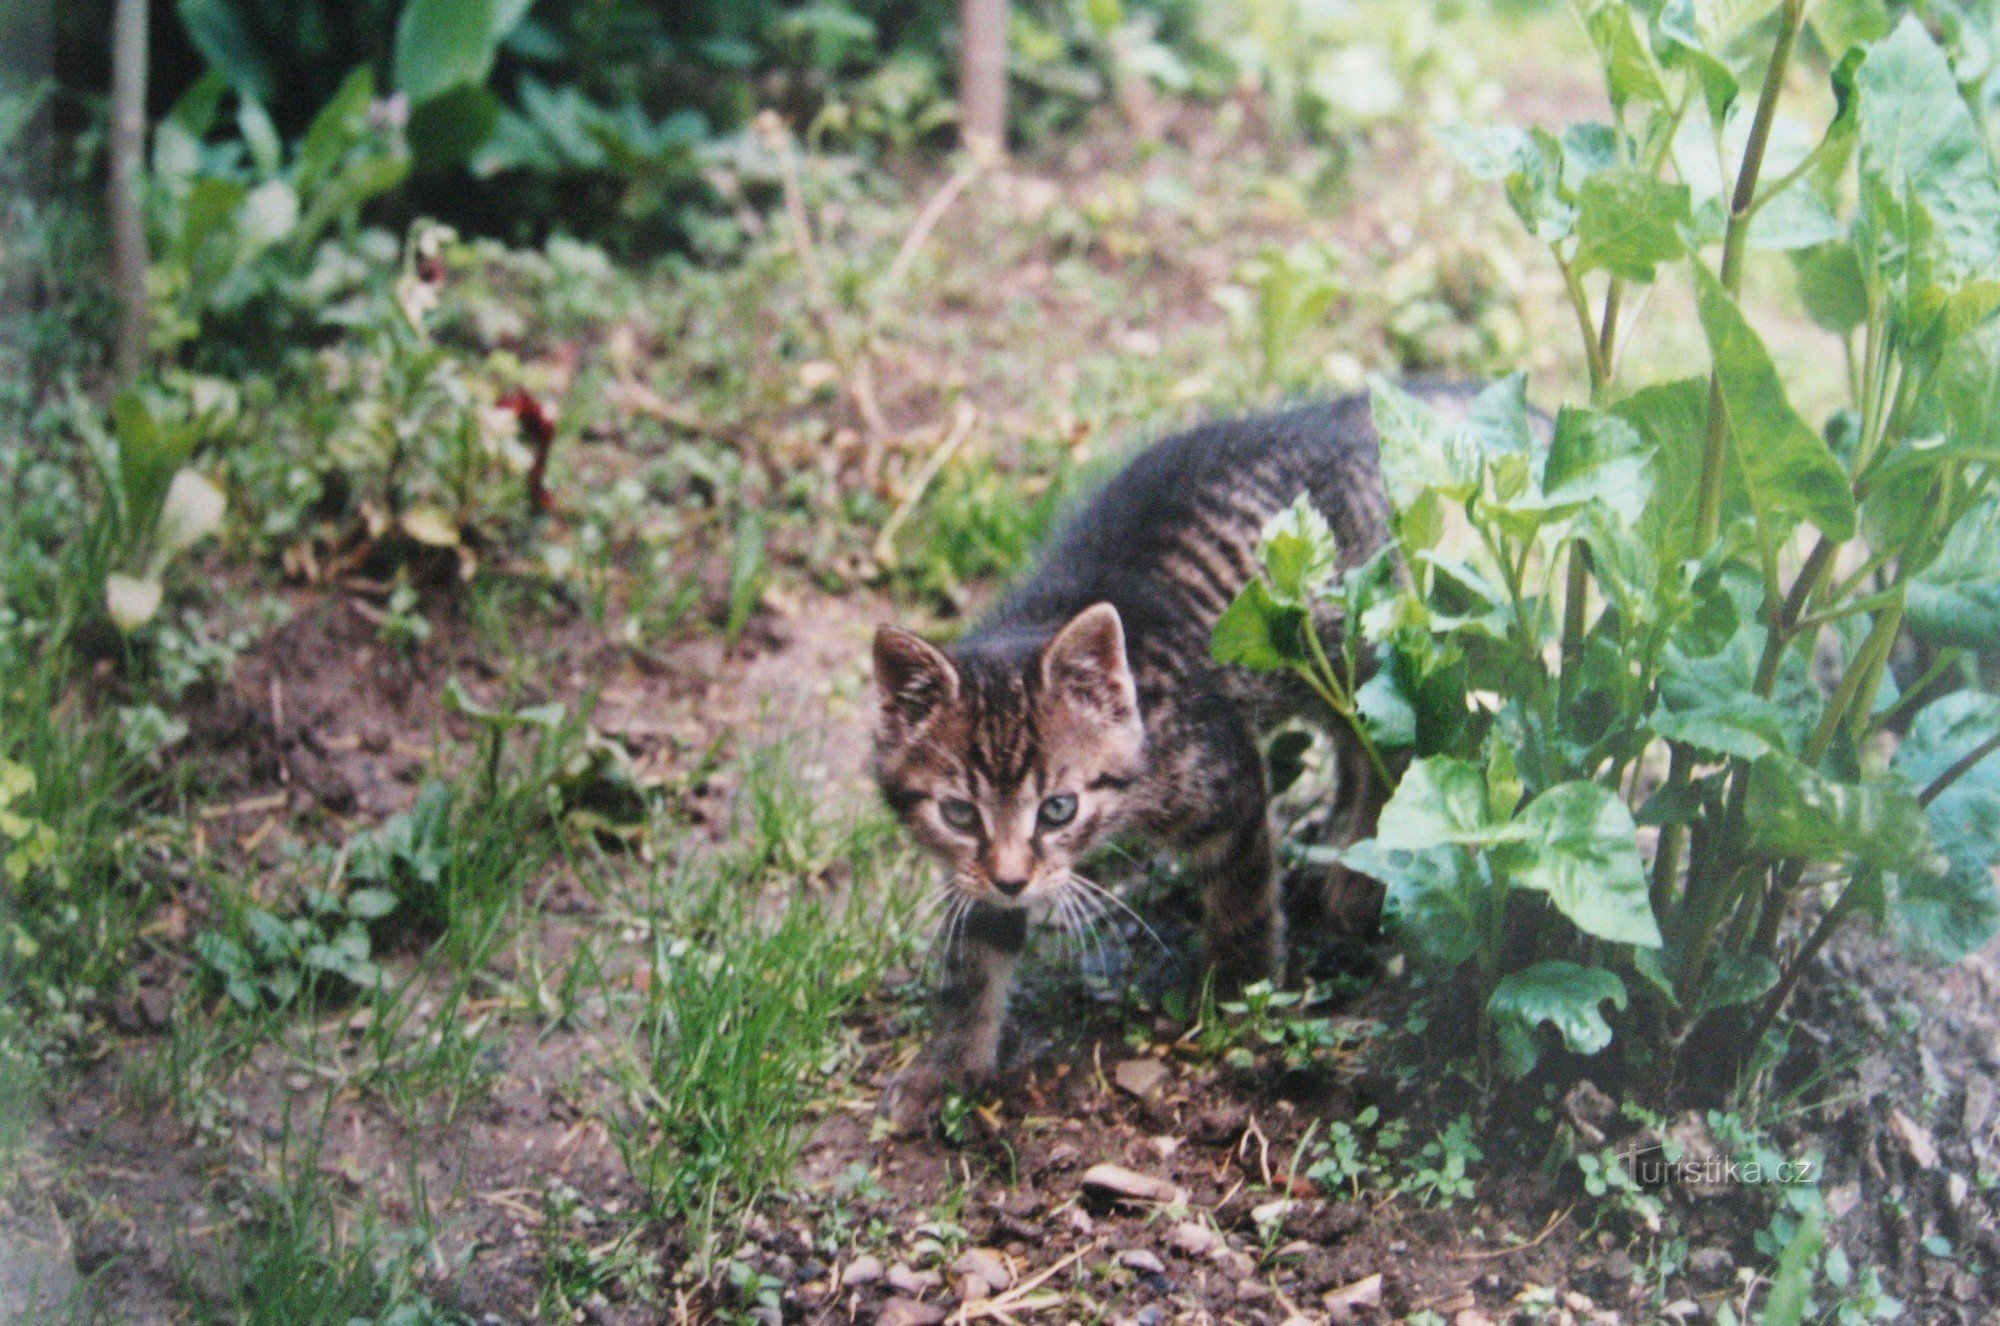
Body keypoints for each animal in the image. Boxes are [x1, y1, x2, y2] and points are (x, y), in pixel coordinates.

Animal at [872, 392, 1408, 1120]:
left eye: (1058, 808)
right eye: (959, 813)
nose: (1013, 880)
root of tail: (1347, 412)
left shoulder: (1229, 782)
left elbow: (1243, 903)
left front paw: (1238, 1000)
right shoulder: (973, 875)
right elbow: (974, 953)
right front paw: (948, 1061)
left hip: (1355, 650)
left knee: (1387, 749)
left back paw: (1359, 876)